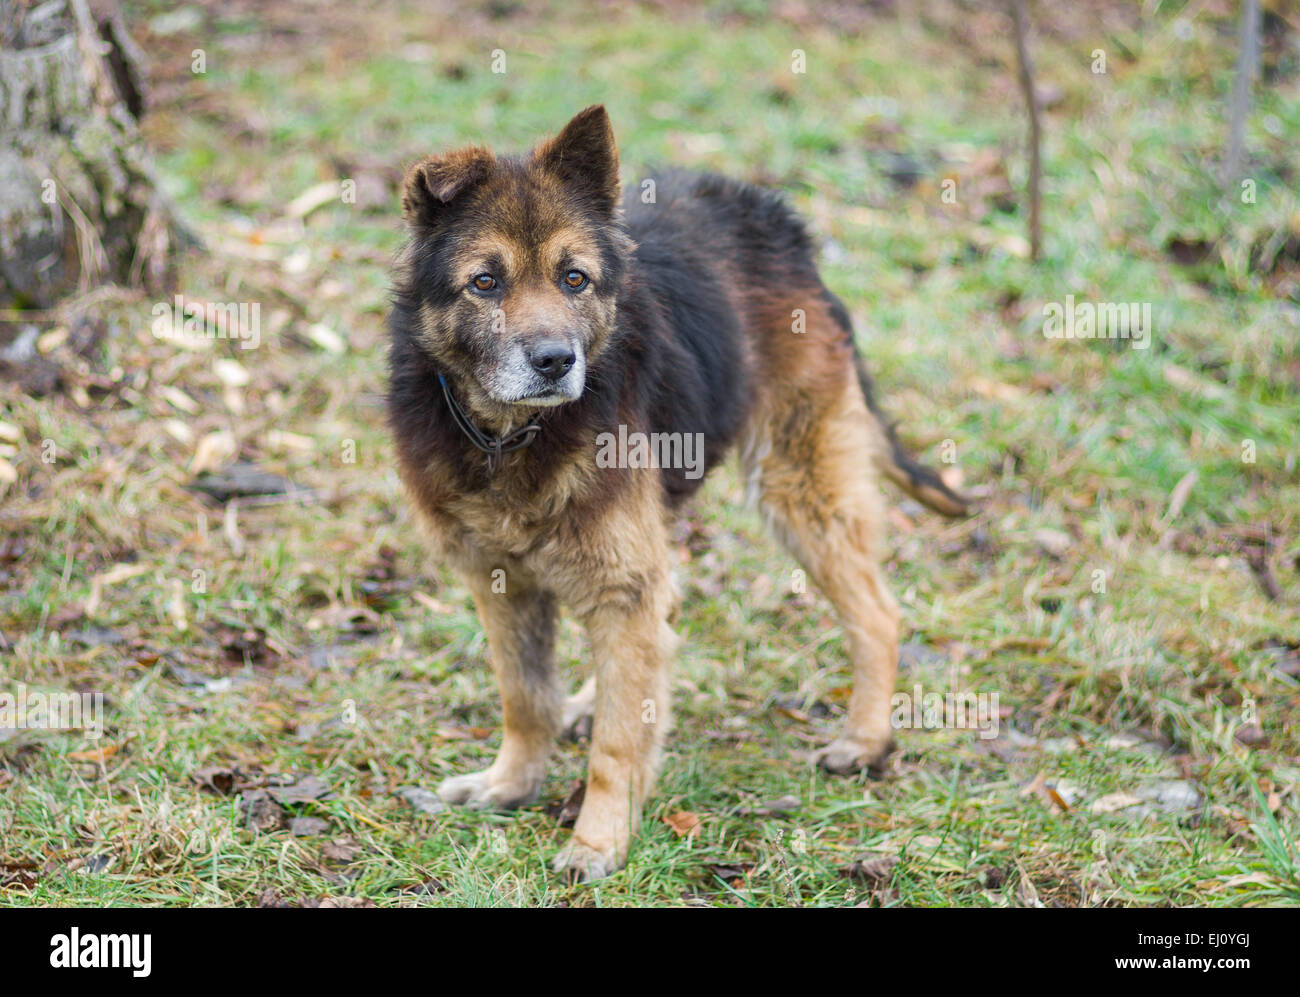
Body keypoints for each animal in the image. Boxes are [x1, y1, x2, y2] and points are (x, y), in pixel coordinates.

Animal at [384, 103, 967, 883]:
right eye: (484, 282)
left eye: (574, 278)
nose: (555, 361)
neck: (513, 437)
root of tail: (769, 214)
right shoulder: (502, 582)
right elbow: (526, 697)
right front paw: (511, 785)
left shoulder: (618, 576)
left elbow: (617, 742)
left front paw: (598, 840)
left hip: (796, 485)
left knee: (876, 612)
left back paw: (866, 739)